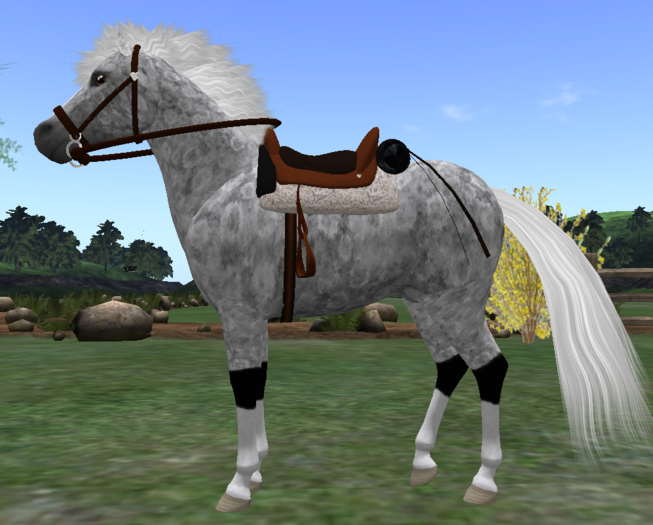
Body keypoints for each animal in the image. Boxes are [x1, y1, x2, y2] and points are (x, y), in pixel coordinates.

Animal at [33, 21, 653, 512]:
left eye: (99, 79)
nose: (43, 135)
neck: (220, 182)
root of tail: (483, 192)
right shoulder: (250, 318)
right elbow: (257, 385)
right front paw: (257, 471)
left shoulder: (238, 312)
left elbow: (244, 386)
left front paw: (237, 483)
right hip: (428, 303)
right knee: (450, 367)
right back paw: (422, 461)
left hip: (458, 302)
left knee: (489, 370)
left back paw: (483, 479)